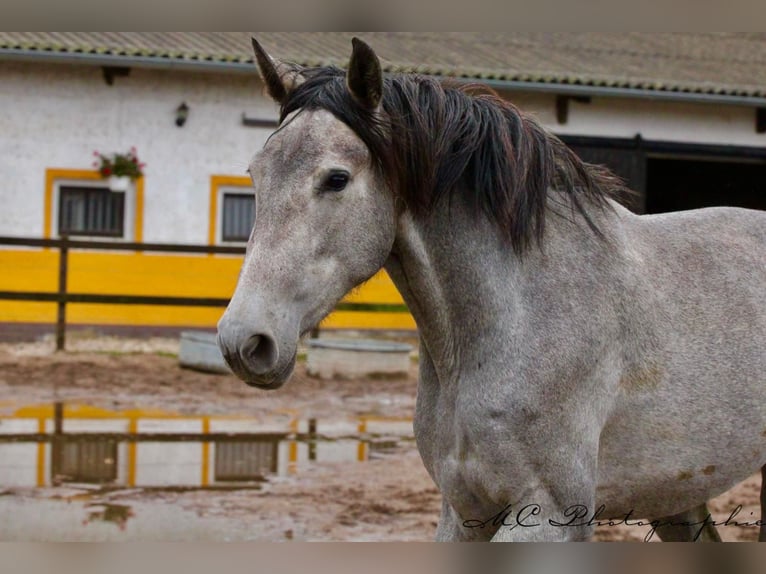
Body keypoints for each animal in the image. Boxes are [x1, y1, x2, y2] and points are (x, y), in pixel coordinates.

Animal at [216, 37, 766, 542]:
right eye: (255, 174)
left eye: (336, 179)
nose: (243, 340)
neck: (519, 313)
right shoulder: (464, 512)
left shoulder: (550, 515)